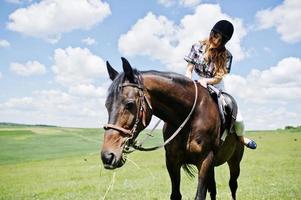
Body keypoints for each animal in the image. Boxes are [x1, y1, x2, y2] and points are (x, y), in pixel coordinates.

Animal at [99, 57, 243, 199]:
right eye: (106, 105)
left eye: (129, 104)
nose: (107, 156)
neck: (190, 117)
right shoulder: (172, 161)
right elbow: (175, 195)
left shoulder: (205, 161)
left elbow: (200, 195)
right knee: (213, 189)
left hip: (234, 161)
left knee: (233, 185)